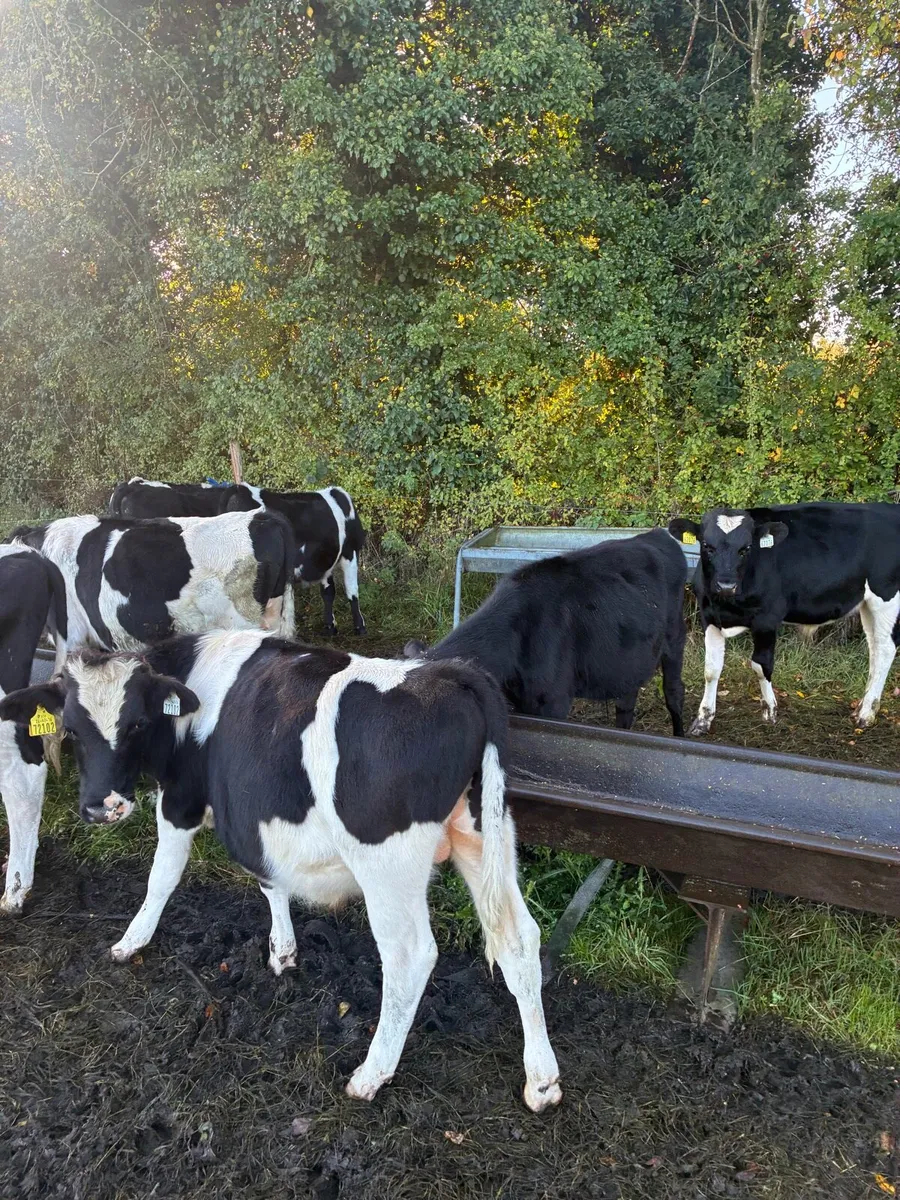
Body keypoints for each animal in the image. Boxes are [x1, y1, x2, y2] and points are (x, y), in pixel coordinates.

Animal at [0, 631, 562, 1113]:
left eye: (135, 722)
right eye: (71, 728)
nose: (103, 808)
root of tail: (452, 674)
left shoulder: (180, 801)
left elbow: (162, 878)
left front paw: (130, 941)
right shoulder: (254, 817)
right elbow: (270, 879)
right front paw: (282, 950)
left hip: (388, 865)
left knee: (410, 957)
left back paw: (371, 1074)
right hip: (483, 835)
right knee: (518, 939)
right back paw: (541, 1080)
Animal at [405, 528, 687, 735]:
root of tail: (656, 534)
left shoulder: (553, 703)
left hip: (675, 638)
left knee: (674, 692)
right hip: (630, 657)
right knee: (626, 700)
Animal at [669, 502, 900, 734]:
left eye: (746, 548)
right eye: (707, 545)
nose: (726, 585)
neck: (727, 604)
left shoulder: (767, 619)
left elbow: (761, 665)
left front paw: (770, 711)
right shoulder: (709, 617)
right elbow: (711, 669)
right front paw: (703, 720)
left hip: (886, 598)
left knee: (885, 650)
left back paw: (866, 714)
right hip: (867, 605)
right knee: (874, 648)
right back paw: (862, 707)